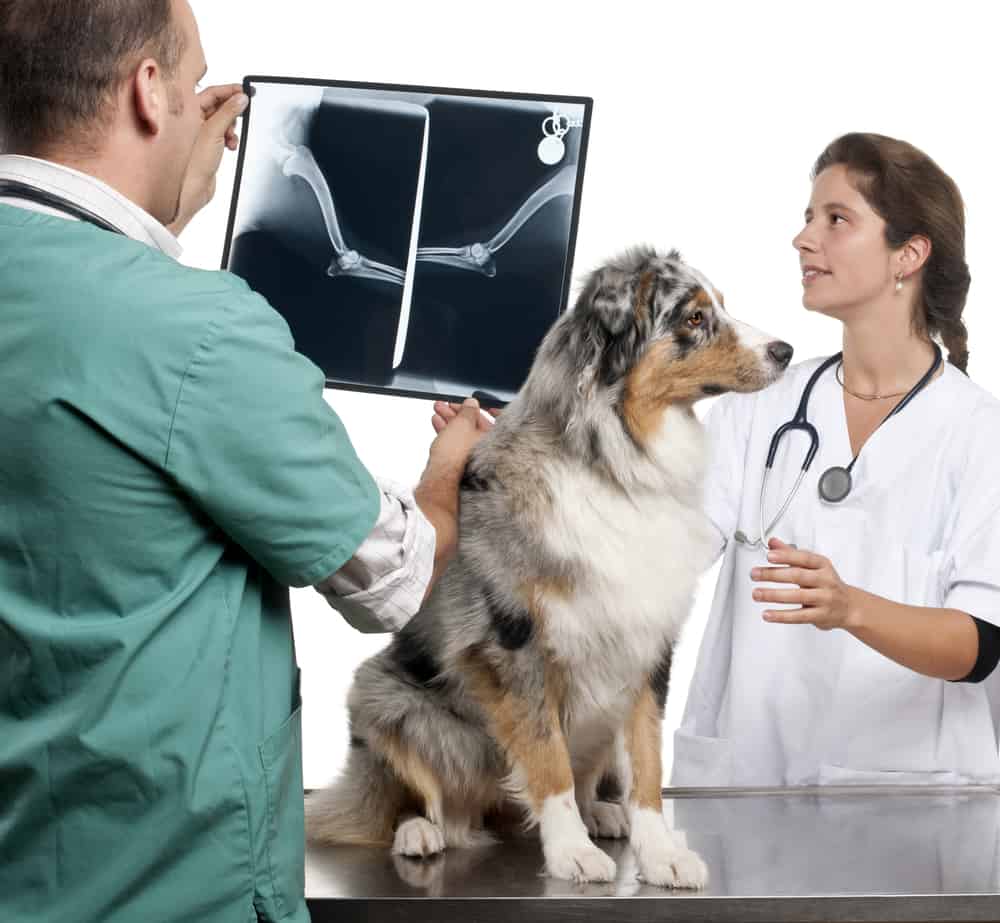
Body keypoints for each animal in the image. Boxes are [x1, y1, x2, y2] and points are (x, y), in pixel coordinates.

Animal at [304, 244, 788, 888]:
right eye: (693, 317)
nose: (785, 351)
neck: (616, 464)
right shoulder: (515, 642)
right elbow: (545, 755)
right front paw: (570, 852)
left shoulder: (648, 642)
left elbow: (649, 764)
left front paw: (660, 852)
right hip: (384, 697)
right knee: (422, 802)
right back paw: (421, 832)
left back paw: (604, 813)